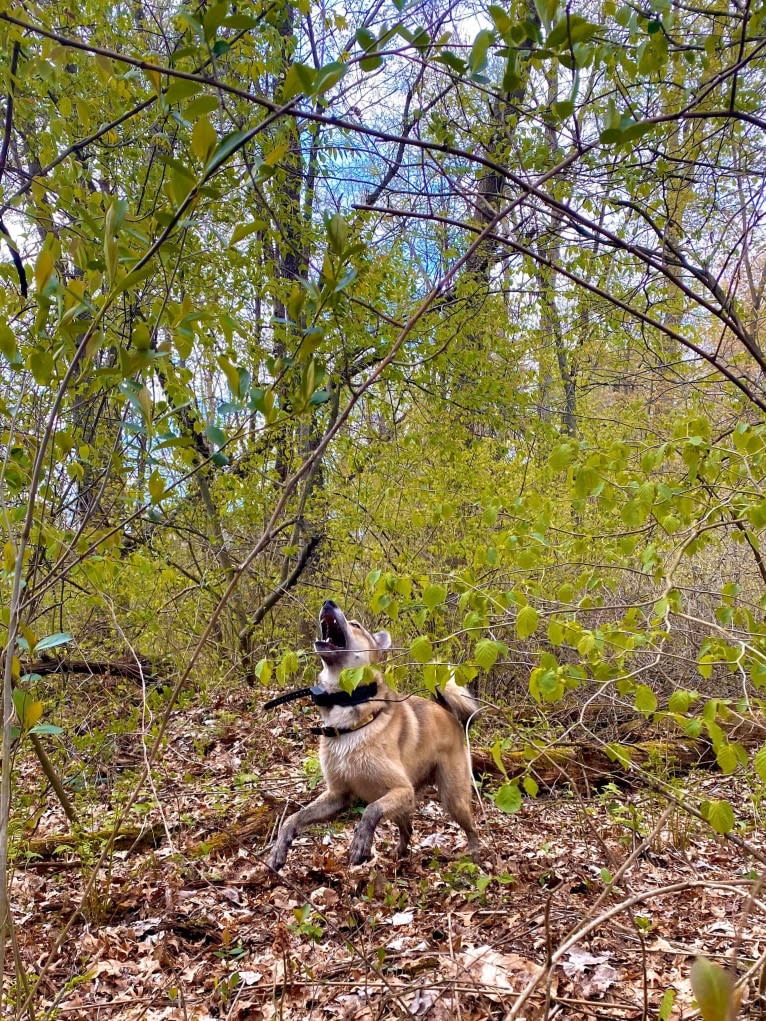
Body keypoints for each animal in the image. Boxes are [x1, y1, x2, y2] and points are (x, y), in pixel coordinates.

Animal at [267, 596, 477, 869]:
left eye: (355, 625)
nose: (328, 602)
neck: (348, 709)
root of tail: (449, 713)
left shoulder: (401, 789)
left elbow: (370, 812)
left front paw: (360, 843)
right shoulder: (337, 795)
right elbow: (295, 817)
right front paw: (280, 846)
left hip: (452, 798)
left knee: (471, 829)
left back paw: (477, 855)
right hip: (407, 804)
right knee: (407, 829)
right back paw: (399, 855)